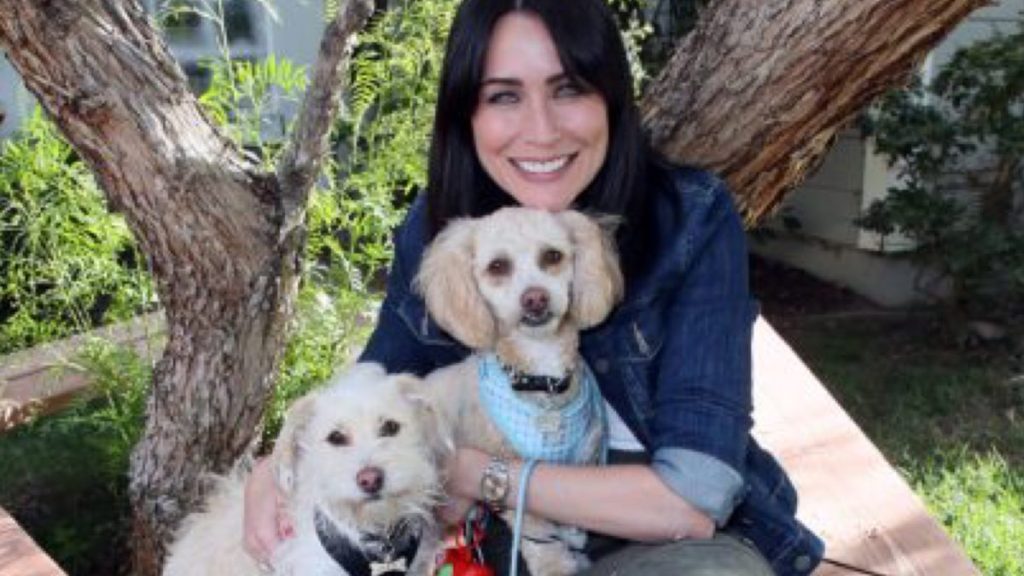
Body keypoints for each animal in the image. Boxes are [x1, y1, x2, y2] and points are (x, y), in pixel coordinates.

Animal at [415, 206, 622, 573]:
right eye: (498, 266)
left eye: (552, 256)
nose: (535, 298)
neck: (541, 375)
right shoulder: (518, 481)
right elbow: (538, 535)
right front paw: (558, 565)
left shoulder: (581, 457)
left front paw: (574, 539)